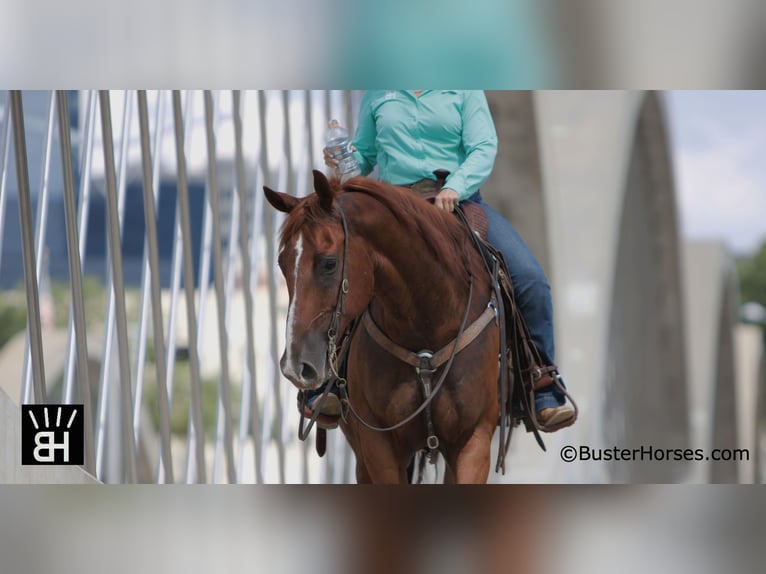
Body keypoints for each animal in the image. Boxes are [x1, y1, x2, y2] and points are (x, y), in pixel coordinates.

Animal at [266, 172, 504, 486]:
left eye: (329, 263)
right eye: (281, 264)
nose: (295, 366)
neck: (427, 325)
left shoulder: (472, 442)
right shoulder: (378, 447)